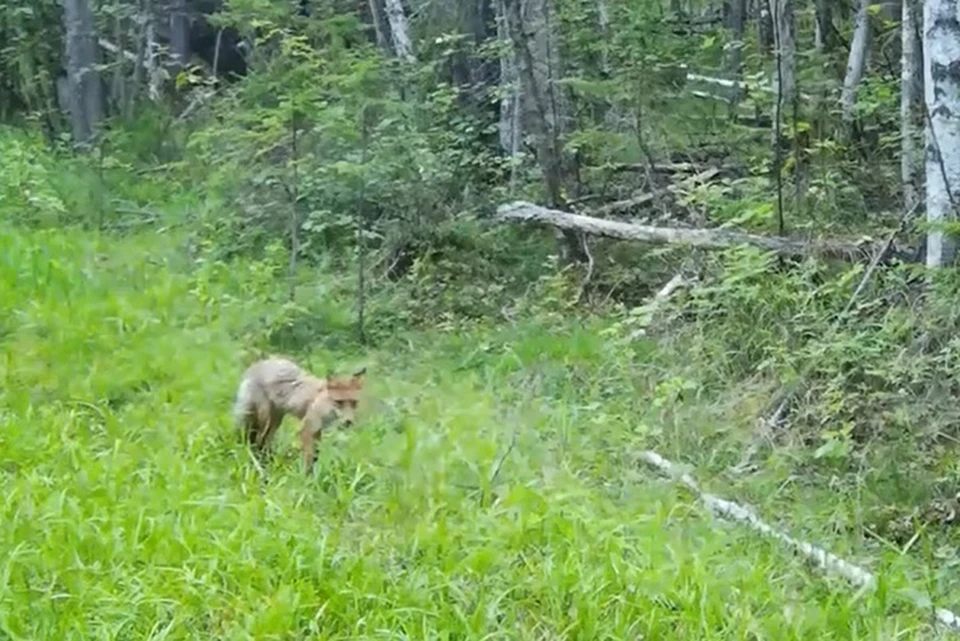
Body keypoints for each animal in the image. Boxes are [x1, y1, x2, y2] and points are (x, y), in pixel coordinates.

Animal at [233, 355, 366, 475]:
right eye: (339, 402)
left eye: (354, 403)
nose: (349, 422)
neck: (323, 403)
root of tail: (255, 366)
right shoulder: (306, 429)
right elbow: (309, 458)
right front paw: (307, 478)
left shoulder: (317, 430)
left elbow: (316, 456)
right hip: (263, 418)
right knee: (256, 439)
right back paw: (260, 463)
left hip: (275, 420)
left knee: (264, 440)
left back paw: (268, 460)